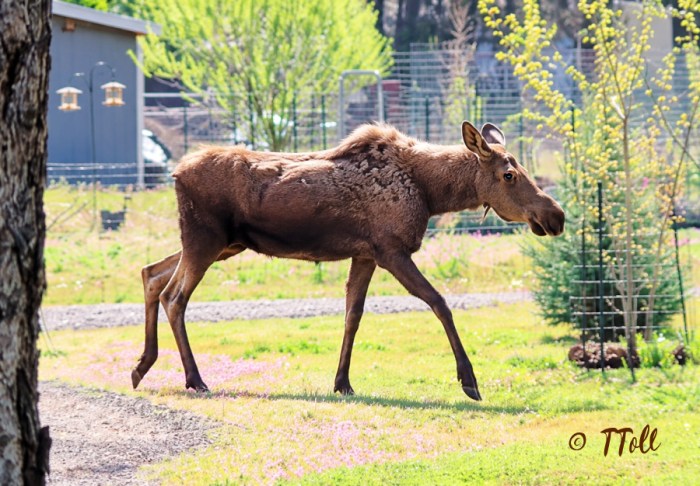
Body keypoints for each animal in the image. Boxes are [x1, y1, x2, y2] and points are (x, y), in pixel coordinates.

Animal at [131, 121, 565, 401]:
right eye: (509, 174)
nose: (556, 215)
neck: (432, 193)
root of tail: (174, 173)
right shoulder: (391, 249)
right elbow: (439, 302)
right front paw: (469, 380)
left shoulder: (365, 253)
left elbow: (352, 315)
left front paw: (342, 382)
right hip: (205, 240)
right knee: (174, 296)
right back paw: (194, 379)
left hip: (222, 244)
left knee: (151, 273)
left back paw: (141, 366)